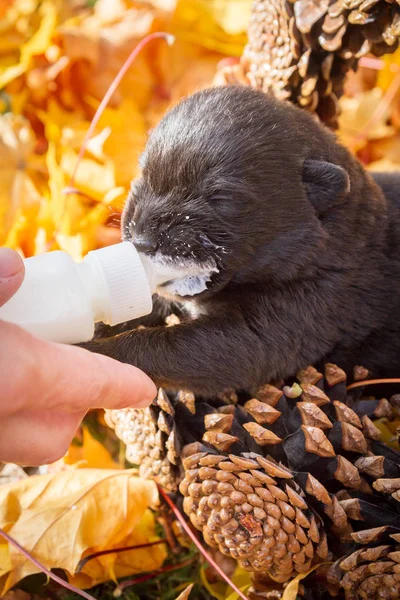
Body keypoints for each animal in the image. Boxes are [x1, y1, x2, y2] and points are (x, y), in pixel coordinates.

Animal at [83, 84, 400, 394]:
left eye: (221, 198)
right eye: (143, 175)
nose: (141, 241)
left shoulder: (285, 319)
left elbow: (166, 344)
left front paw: (98, 351)